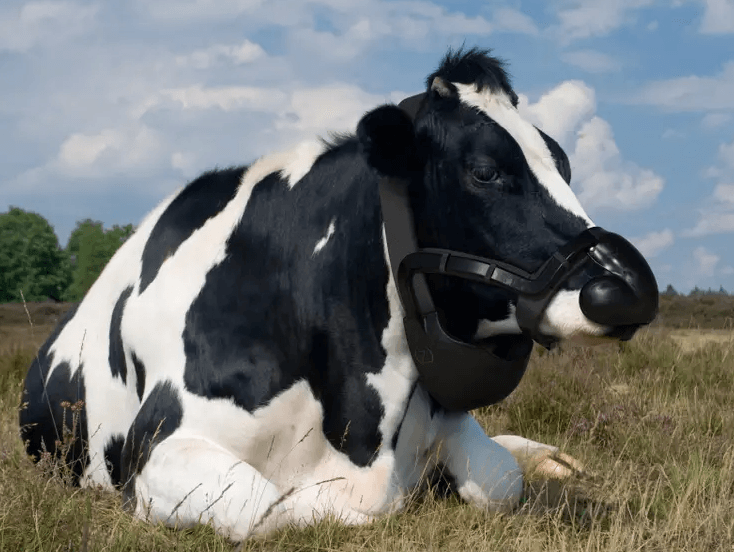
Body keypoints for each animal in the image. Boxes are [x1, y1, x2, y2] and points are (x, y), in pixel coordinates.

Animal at [19, 47, 658, 540]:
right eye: (485, 171)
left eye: (565, 165)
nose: (628, 288)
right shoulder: (159, 444)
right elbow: (273, 506)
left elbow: (501, 478)